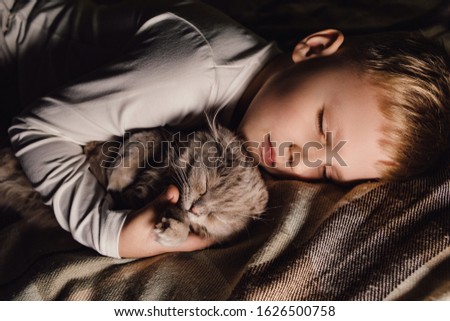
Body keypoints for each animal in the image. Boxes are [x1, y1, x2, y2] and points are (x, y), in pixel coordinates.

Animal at [84, 121, 268, 246]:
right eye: (205, 187)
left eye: (218, 215)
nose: (195, 210)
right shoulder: (163, 137)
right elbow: (142, 145)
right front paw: (118, 178)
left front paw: (172, 232)